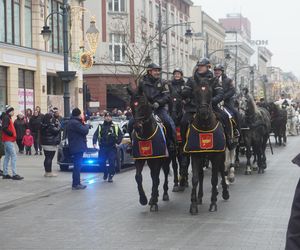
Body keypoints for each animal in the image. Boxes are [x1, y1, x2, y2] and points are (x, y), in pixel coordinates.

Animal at [183, 79, 230, 215]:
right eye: (195, 93)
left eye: (210, 93)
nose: (204, 112)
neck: (205, 126)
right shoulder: (195, 155)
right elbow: (195, 179)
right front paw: (193, 205)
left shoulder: (217, 155)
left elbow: (214, 179)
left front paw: (213, 203)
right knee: (201, 175)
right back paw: (199, 197)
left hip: (222, 154)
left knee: (221, 170)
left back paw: (225, 193)